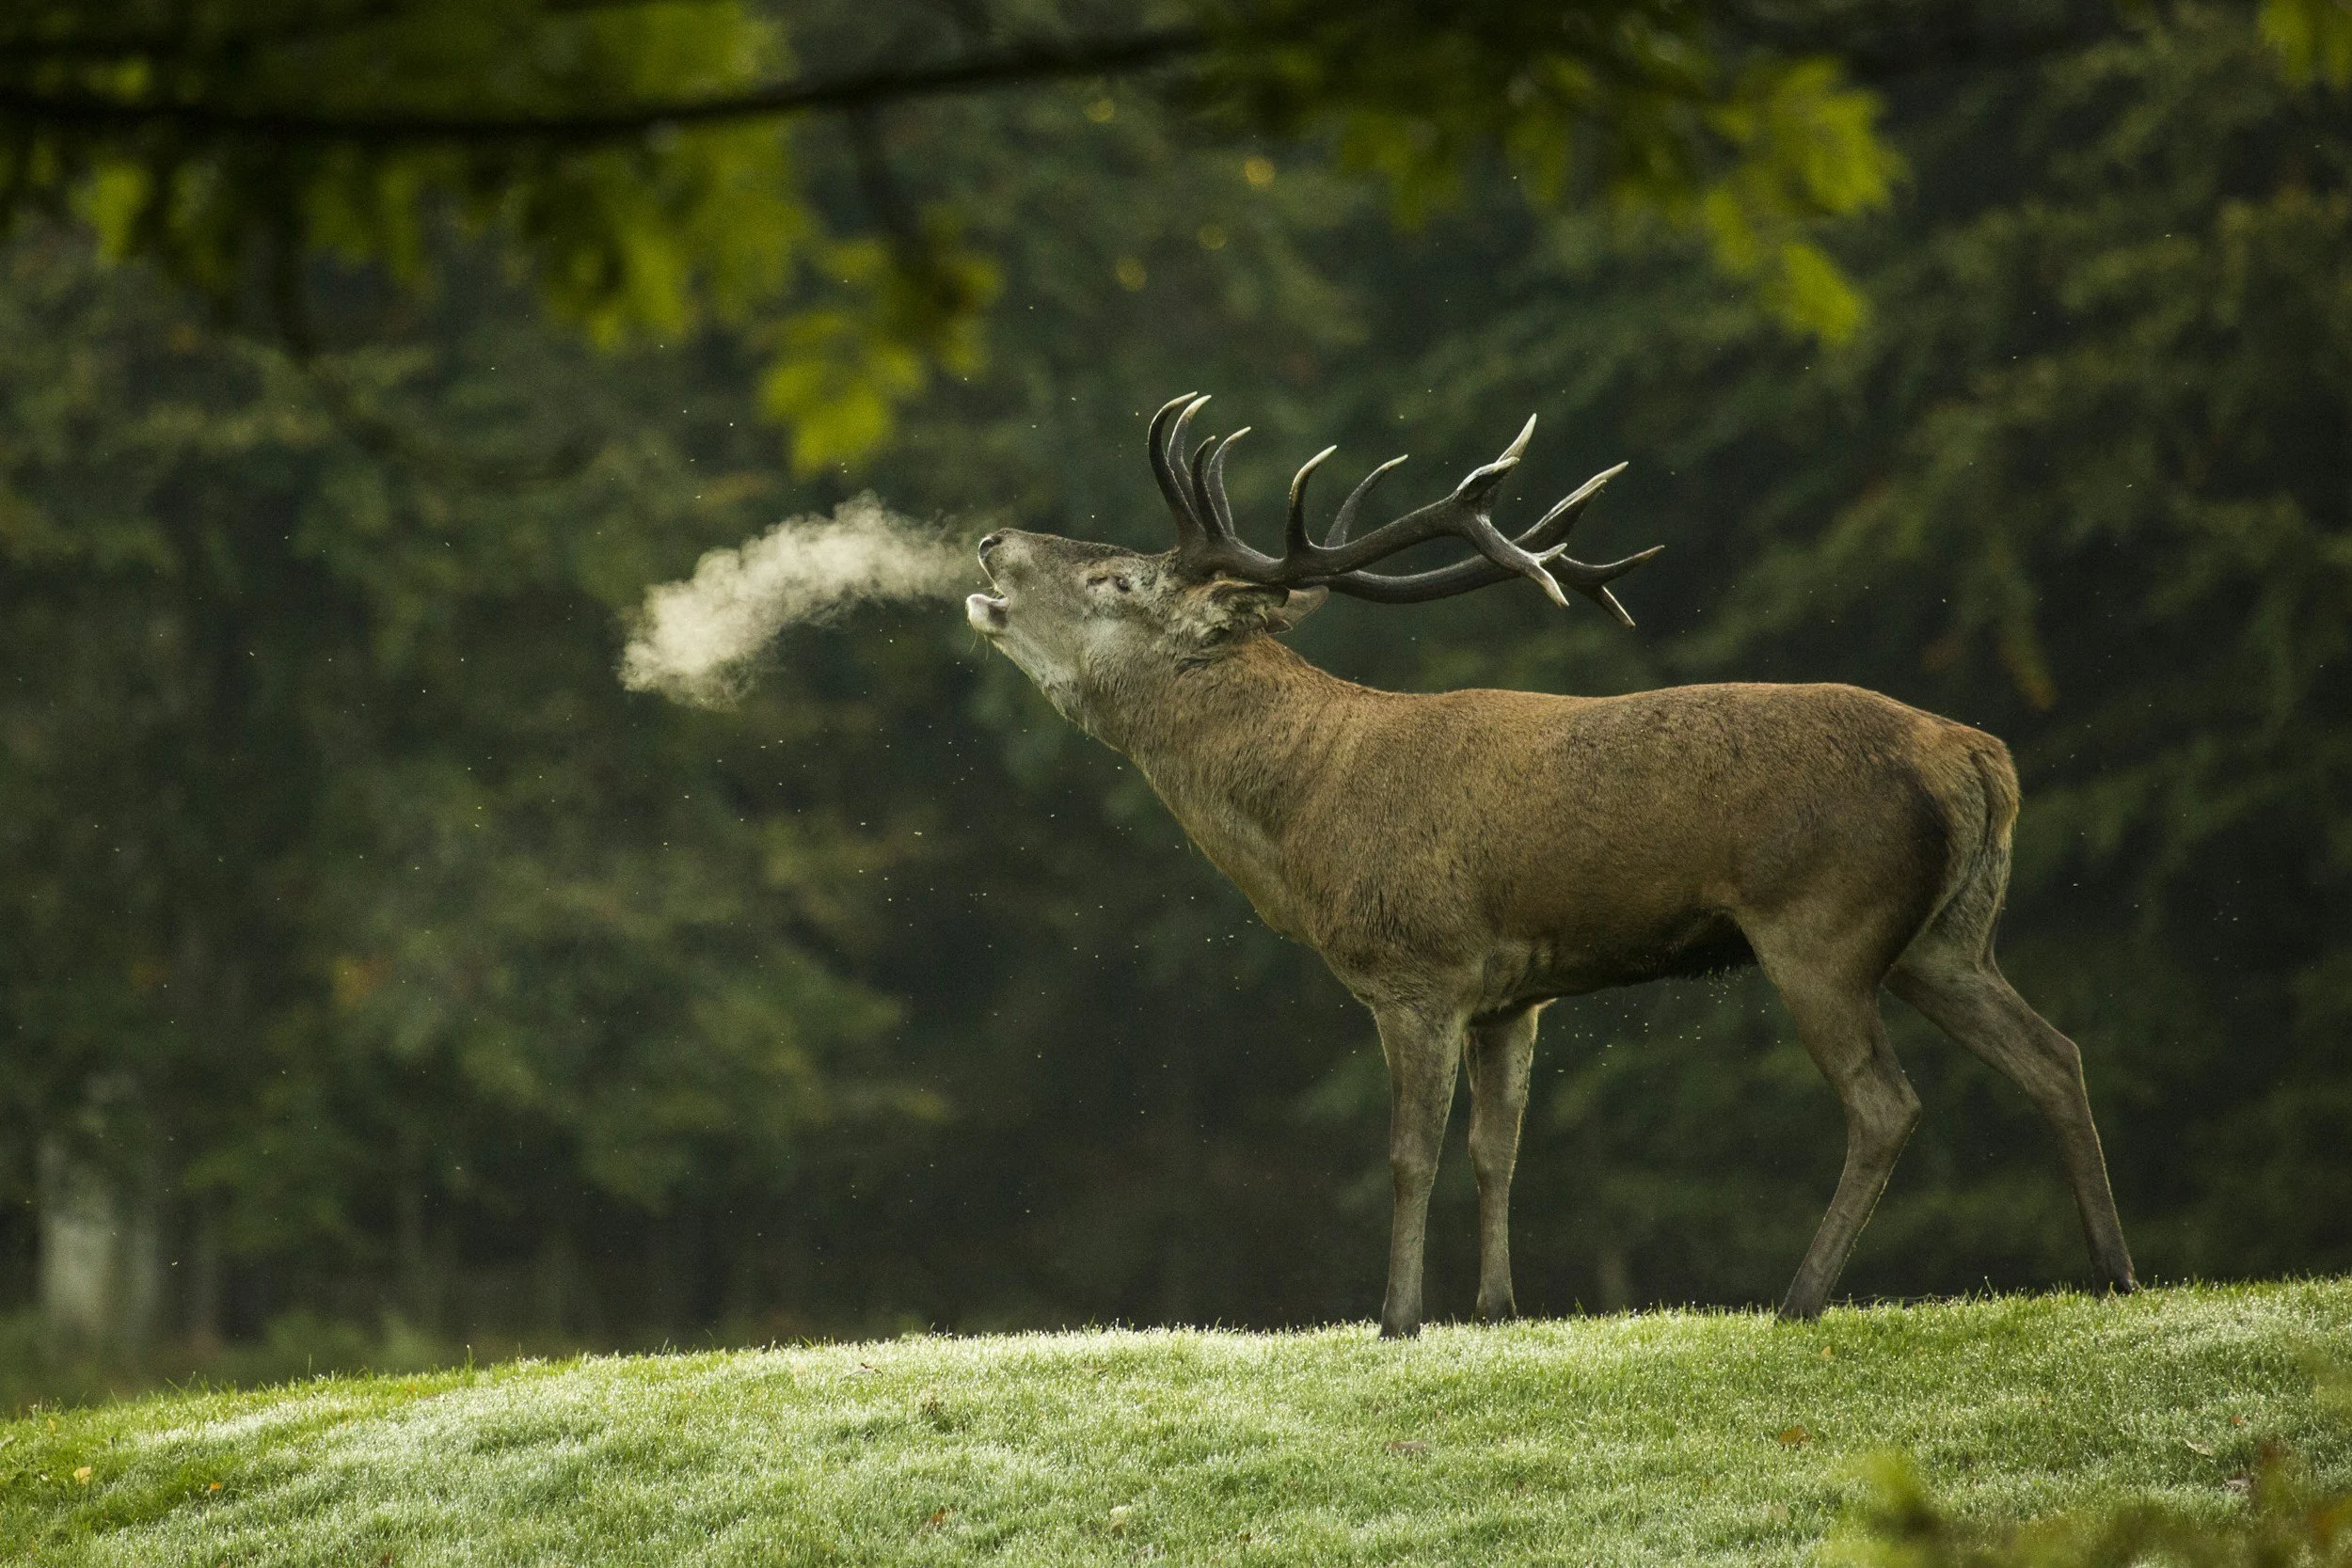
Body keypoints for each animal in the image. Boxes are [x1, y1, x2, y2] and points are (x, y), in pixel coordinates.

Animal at [966, 392, 2138, 1336]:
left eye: (1118, 577)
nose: (988, 543)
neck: (1306, 818)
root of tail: (1980, 759)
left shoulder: (1419, 968)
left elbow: (1410, 1152)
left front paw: (1397, 1318)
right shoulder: (1511, 994)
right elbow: (1499, 1148)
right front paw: (1496, 1307)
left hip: (1823, 922)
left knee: (1885, 1103)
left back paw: (1797, 1299)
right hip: (1945, 937)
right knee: (2054, 1051)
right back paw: (2113, 1271)